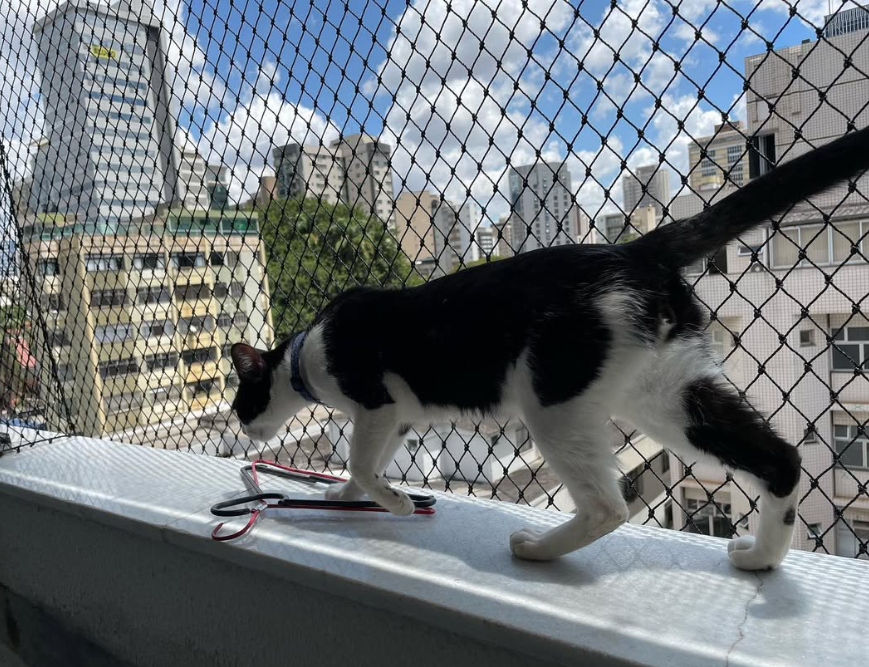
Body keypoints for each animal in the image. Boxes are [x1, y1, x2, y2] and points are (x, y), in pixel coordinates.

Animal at [231, 126, 869, 571]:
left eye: (241, 403)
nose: (244, 429)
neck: (306, 351)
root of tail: (631, 251)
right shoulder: (397, 417)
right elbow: (364, 464)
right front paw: (345, 493)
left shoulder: (376, 402)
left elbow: (364, 463)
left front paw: (394, 504)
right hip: (664, 391)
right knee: (780, 458)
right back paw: (762, 558)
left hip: (555, 399)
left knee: (608, 507)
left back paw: (538, 549)